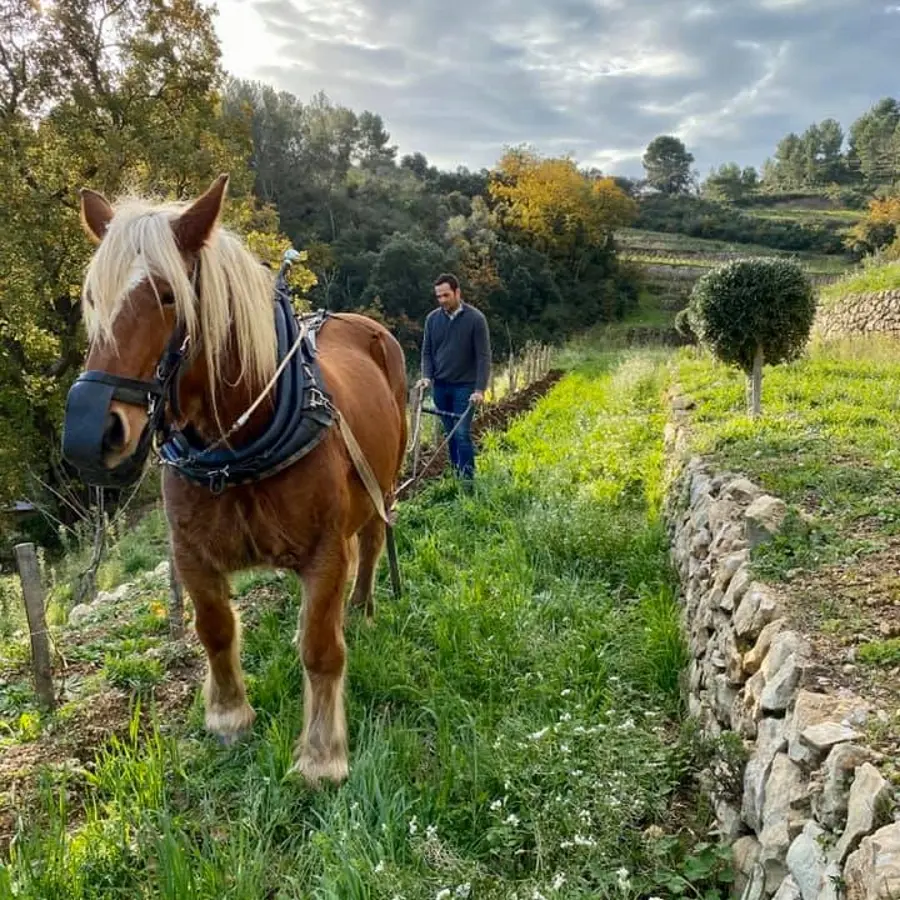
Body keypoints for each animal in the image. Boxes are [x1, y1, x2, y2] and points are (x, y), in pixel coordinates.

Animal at [60, 174, 408, 786]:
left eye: (168, 295)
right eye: (93, 299)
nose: (86, 433)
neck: (237, 449)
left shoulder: (323, 551)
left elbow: (321, 646)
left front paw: (322, 754)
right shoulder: (191, 554)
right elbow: (214, 629)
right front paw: (228, 717)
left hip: (381, 485)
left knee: (368, 545)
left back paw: (362, 607)